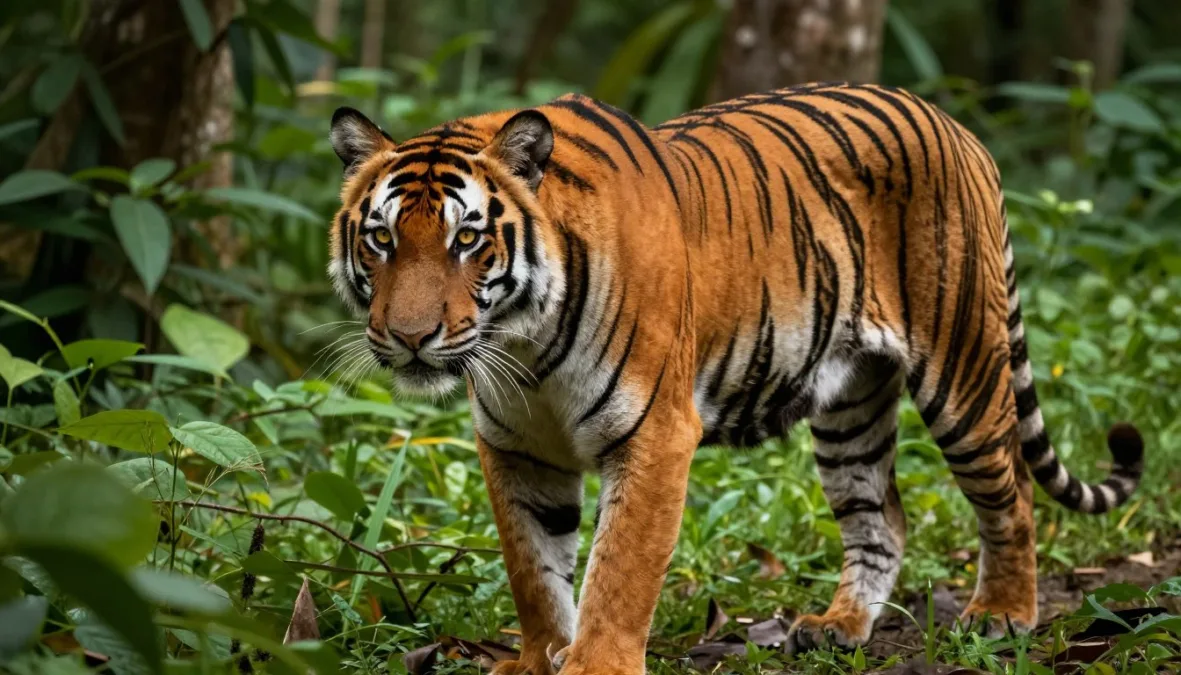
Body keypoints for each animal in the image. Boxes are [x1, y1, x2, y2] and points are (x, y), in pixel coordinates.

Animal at [327, 82, 1144, 675]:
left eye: (467, 239)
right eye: (382, 239)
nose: (409, 337)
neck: (522, 346)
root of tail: (954, 123)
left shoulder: (653, 433)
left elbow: (618, 571)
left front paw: (594, 664)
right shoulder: (516, 447)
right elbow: (535, 570)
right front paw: (535, 661)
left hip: (964, 370)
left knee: (1011, 493)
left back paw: (1002, 614)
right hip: (850, 406)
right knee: (882, 515)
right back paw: (838, 626)